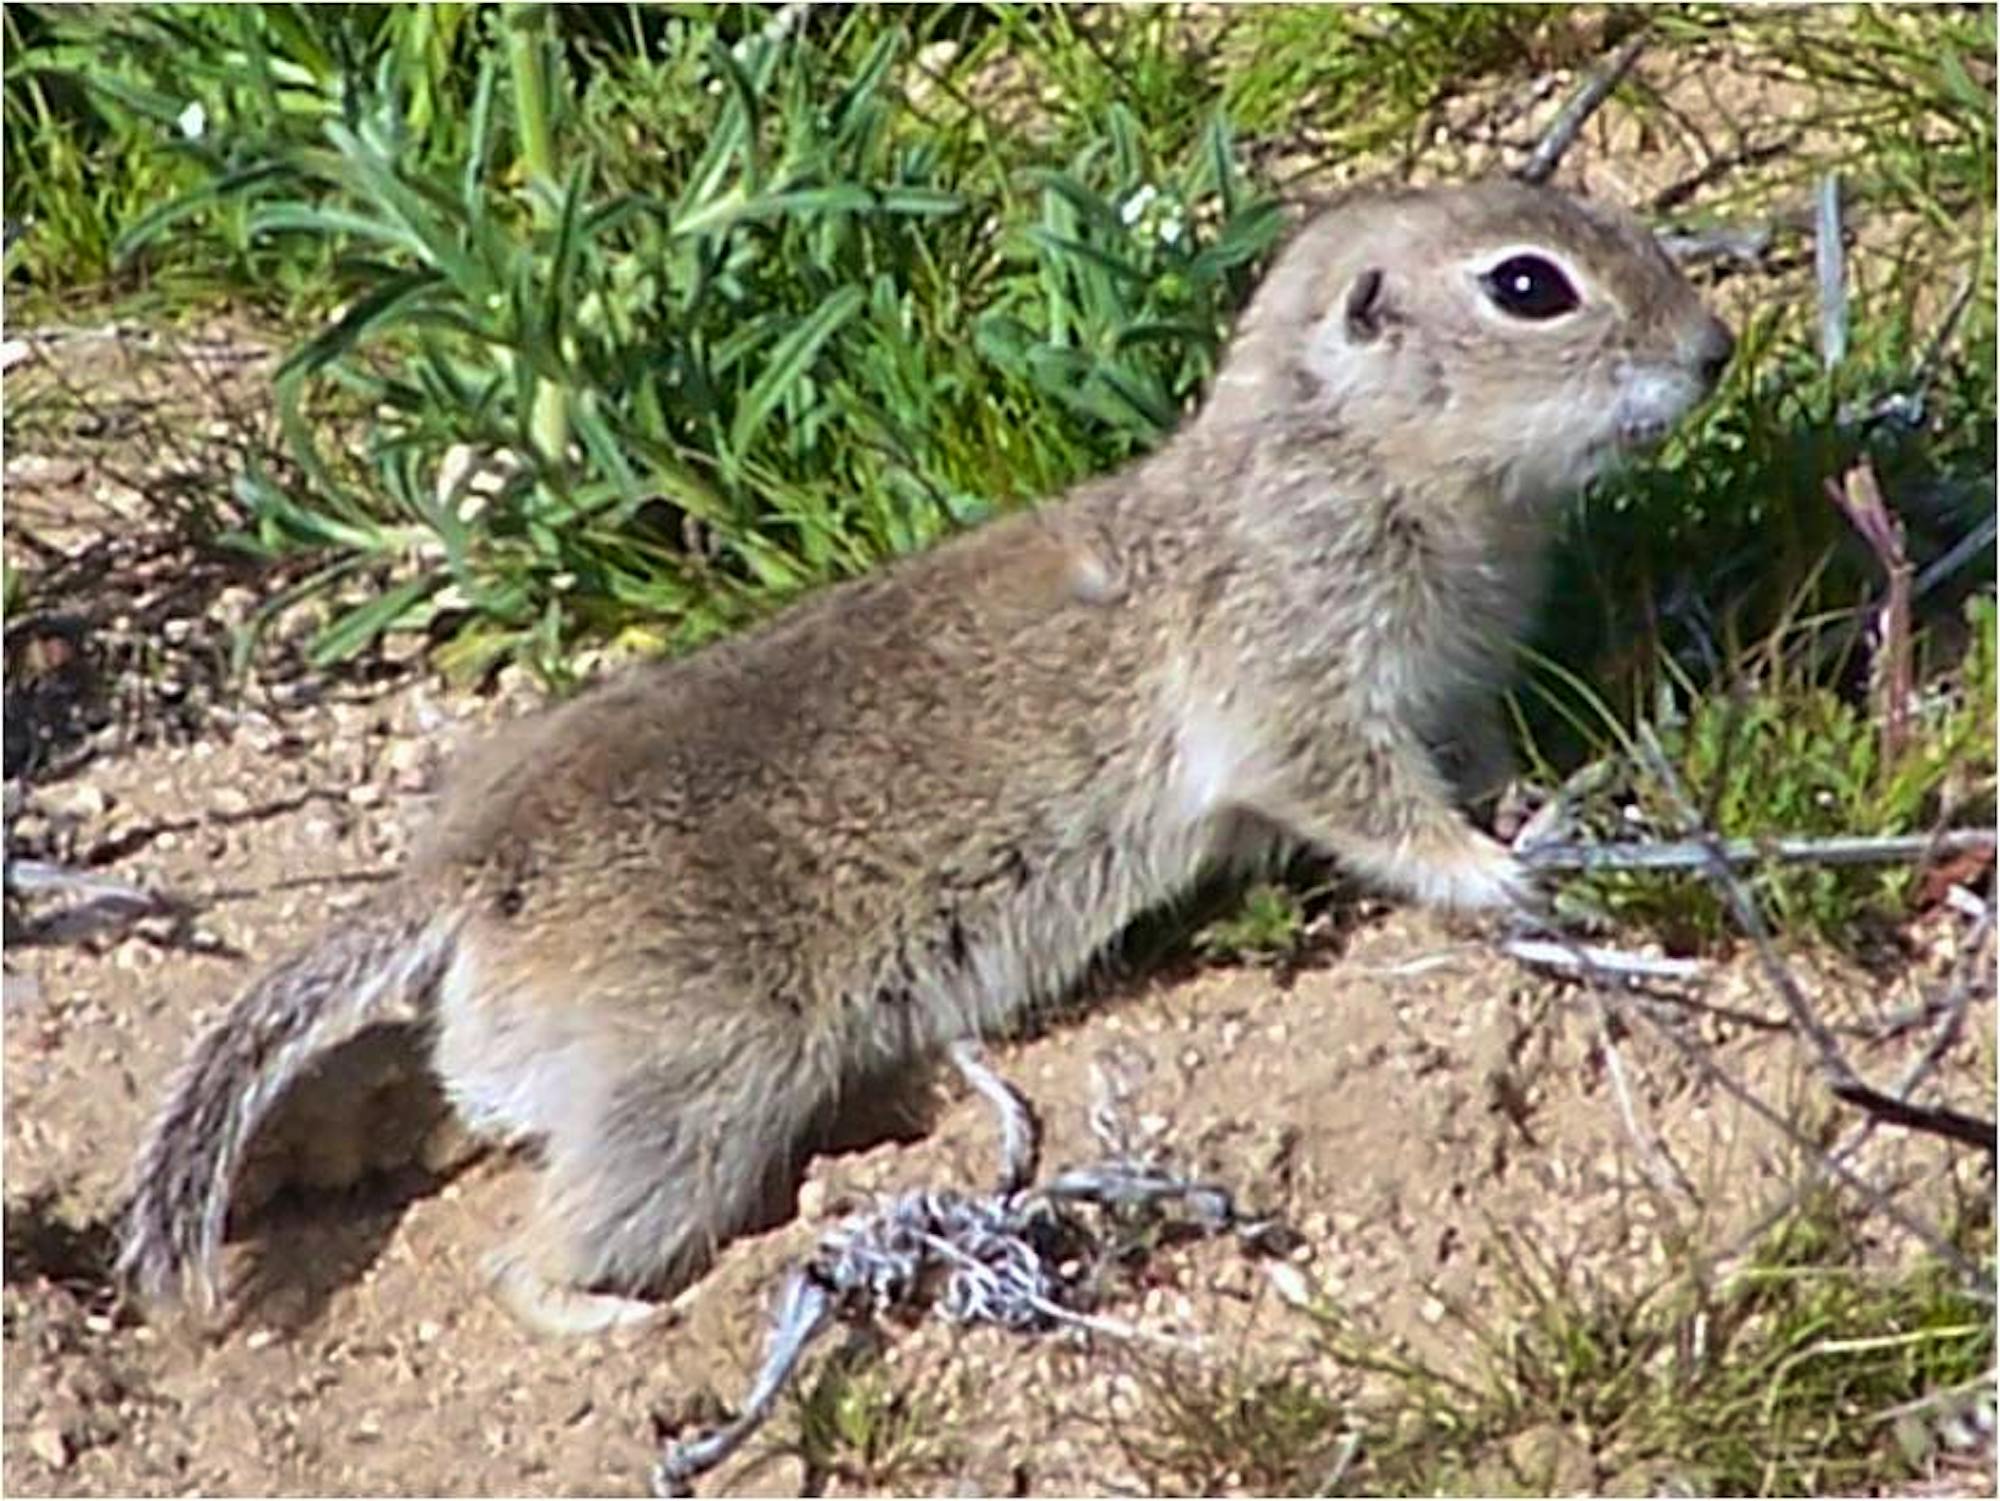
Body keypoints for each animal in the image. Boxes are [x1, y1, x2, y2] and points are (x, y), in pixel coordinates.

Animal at [117, 179, 1728, 1336]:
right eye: (1528, 284)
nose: (1716, 349)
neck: (1355, 462)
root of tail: (467, 872)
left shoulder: (1452, 682)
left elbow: (1470, 751)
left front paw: (1550, 800)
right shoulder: (1293, 678)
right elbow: (1365, 799)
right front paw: (1503, 872)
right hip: (686, 1095)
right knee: (520, 1263)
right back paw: (627, 1321)